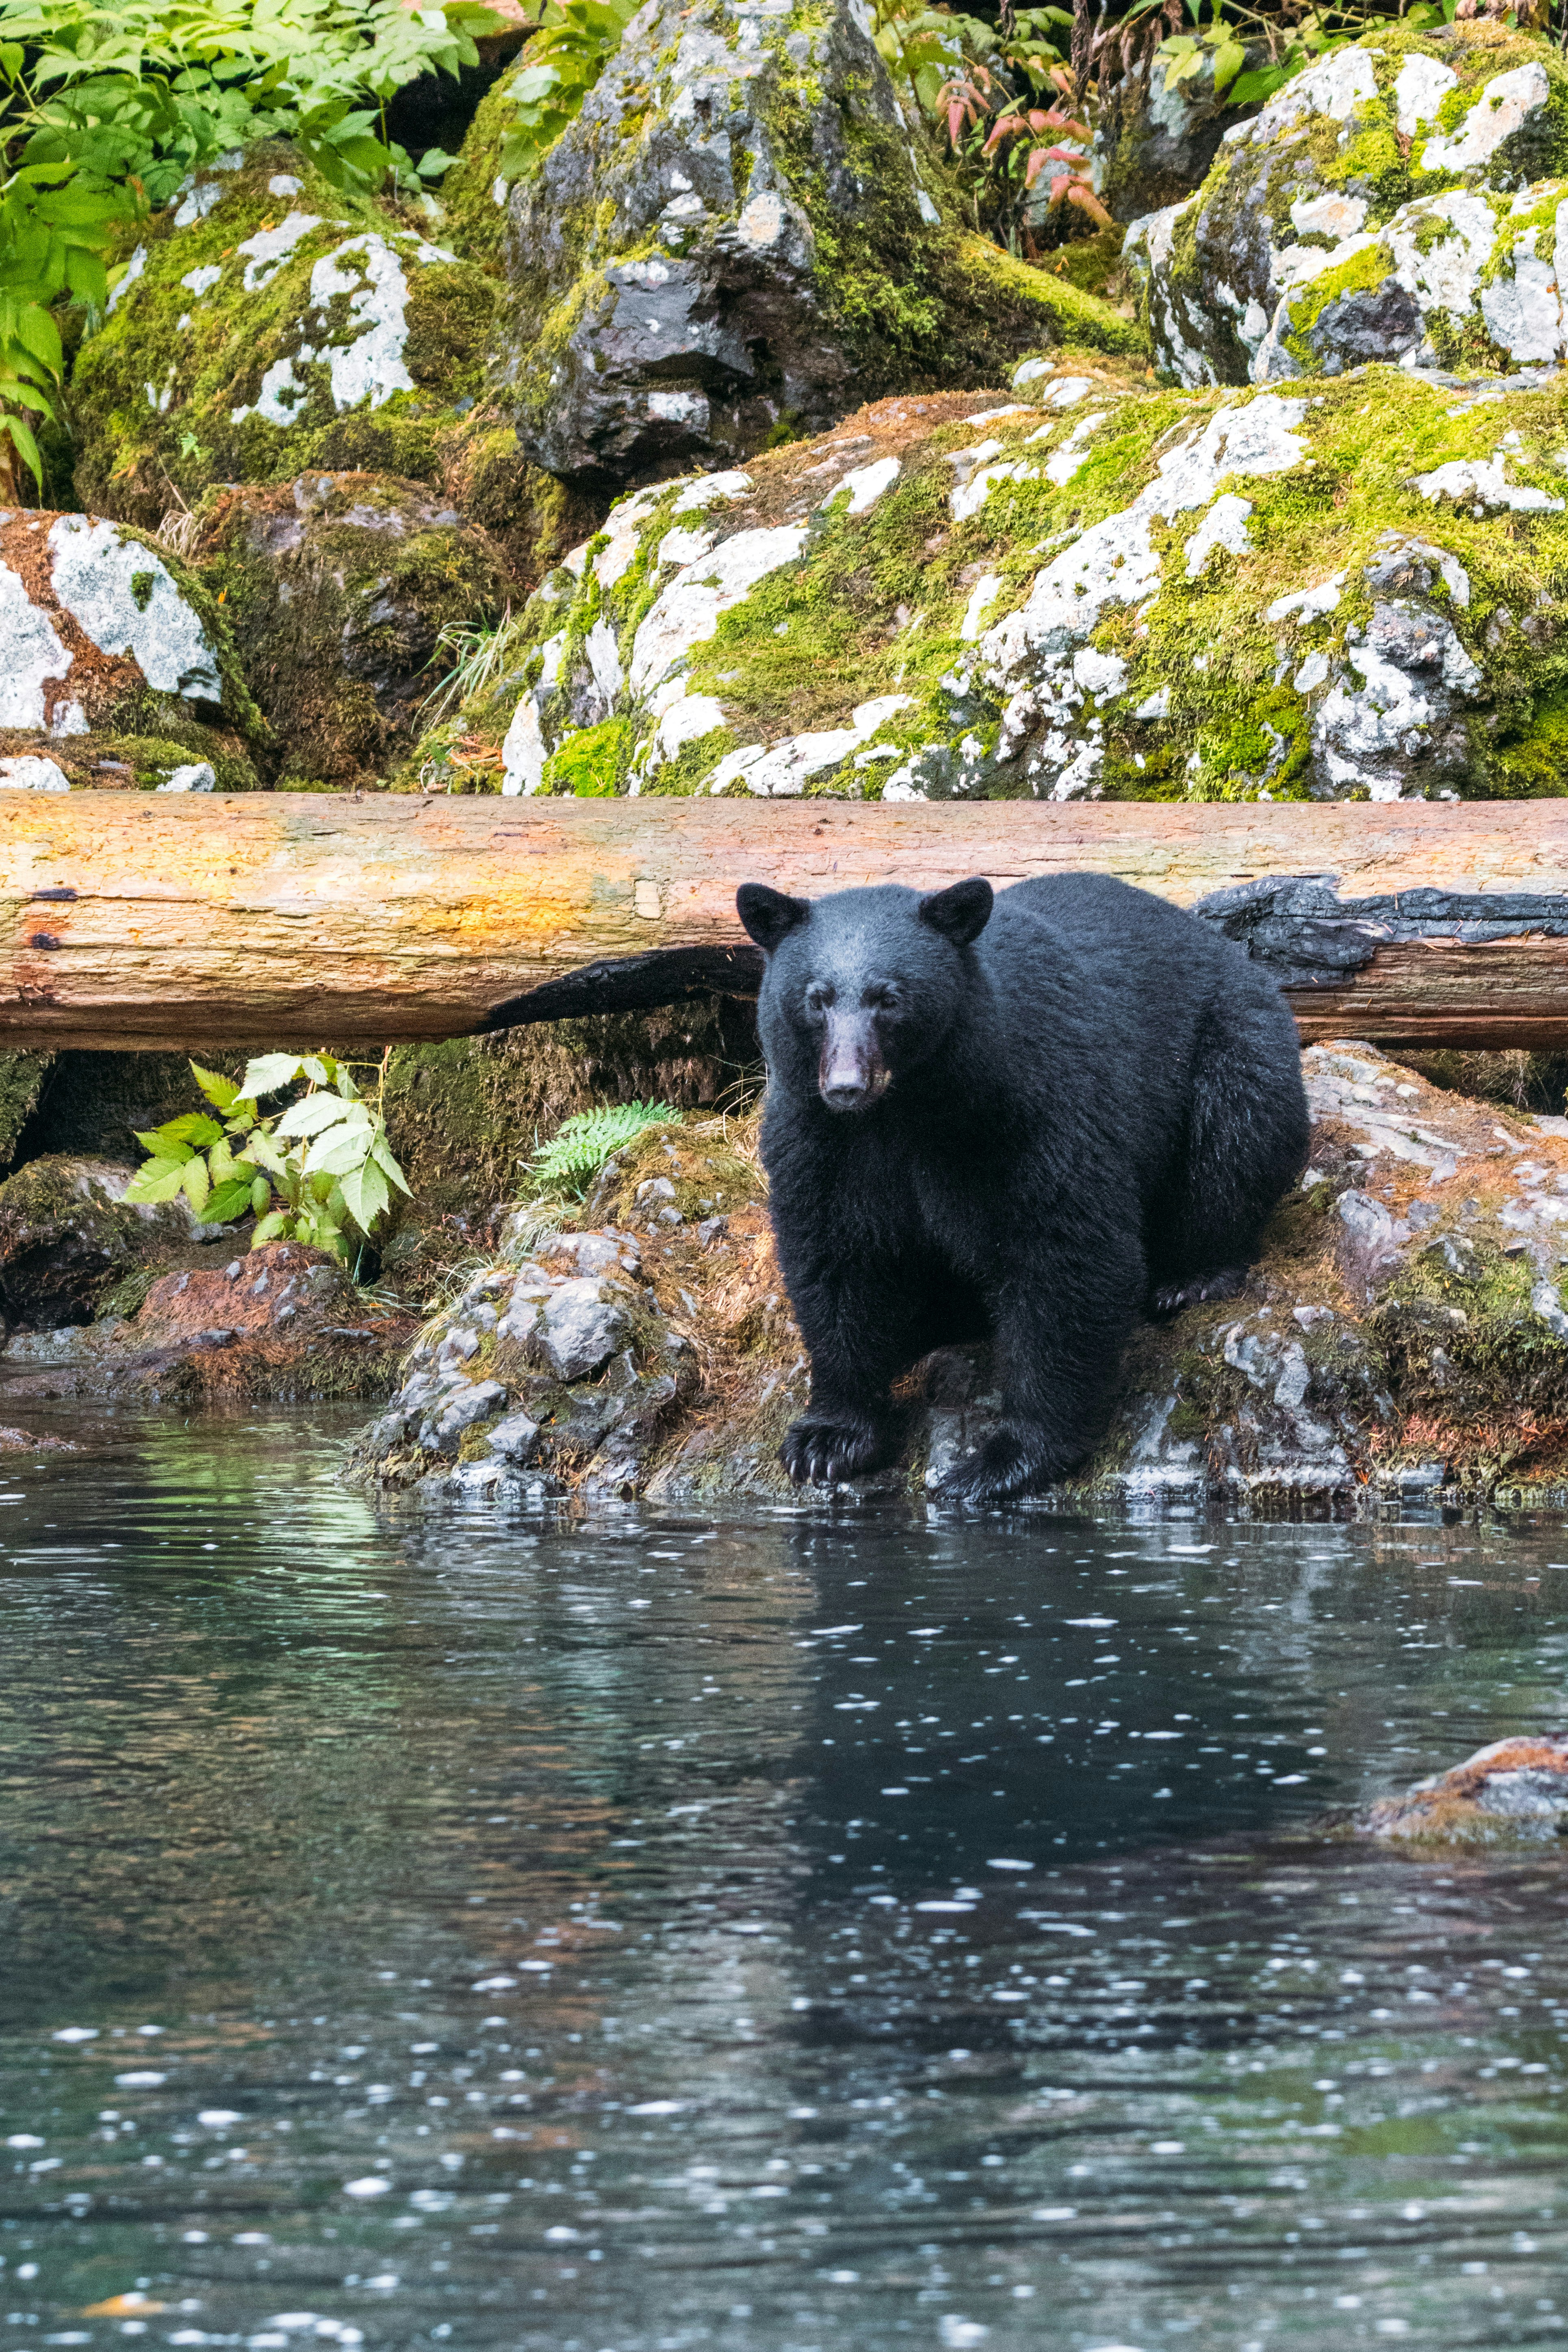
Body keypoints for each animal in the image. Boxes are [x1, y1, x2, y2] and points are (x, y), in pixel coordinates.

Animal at [735, 869, 1310, 1506]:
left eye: (889, 999)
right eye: (816, 999)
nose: (845, 1085)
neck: (904, 1112)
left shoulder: (1025, 1110)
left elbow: (1061, 1253)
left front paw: (1006, 1457)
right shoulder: (821, 1139)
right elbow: (835, 1257)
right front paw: (829, 1438)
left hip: (1230, 1038)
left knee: (1232, 1137)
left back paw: (1192, 1277)